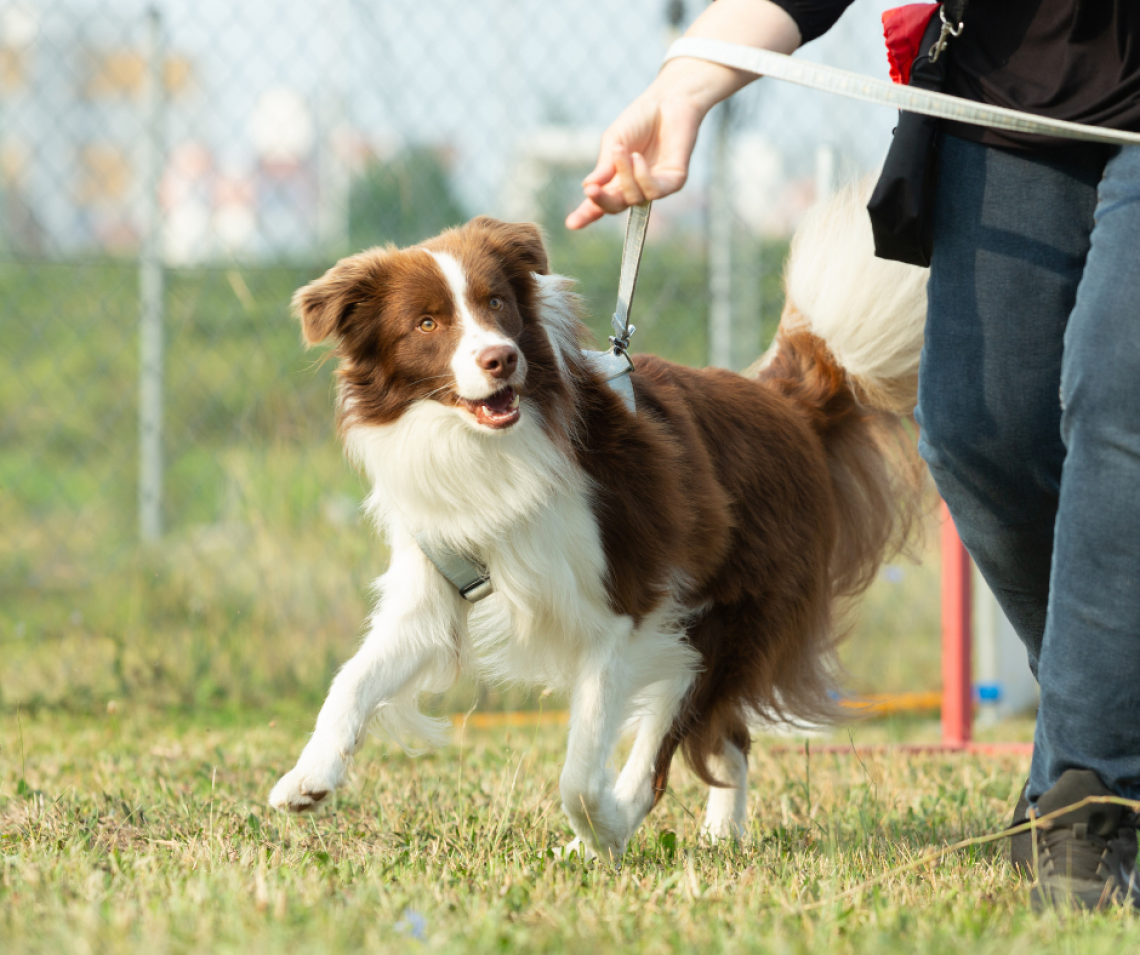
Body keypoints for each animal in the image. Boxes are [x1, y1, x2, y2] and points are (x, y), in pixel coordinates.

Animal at [271, 183, 930, 856]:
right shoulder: (436, 585)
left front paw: (604, 828)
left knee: (673, 742)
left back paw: (621, 827)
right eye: (426, 323)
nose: (501, 359)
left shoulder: (626, 609)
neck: (491, 448)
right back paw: (720, 834)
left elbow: (581, 771)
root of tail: (785, 403)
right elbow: (353, 677)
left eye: (497, 302)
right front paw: (310, 775)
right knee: (728, 737)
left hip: (723, 619)